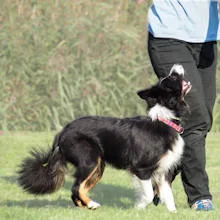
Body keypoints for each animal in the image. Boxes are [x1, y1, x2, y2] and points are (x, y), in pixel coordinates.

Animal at [18, 63, 192, 211]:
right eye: (173, 78)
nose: (177, 64)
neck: (165, 119)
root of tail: (62, 133)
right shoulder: (141, 168)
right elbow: (149, 194)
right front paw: (139, 208)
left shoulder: (164, 170)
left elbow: (168, 196)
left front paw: (172, 213)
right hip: (89, 160)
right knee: (76, 187)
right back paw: (92, 204)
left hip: (98, 166)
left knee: (77, 190)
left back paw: (86, 207)